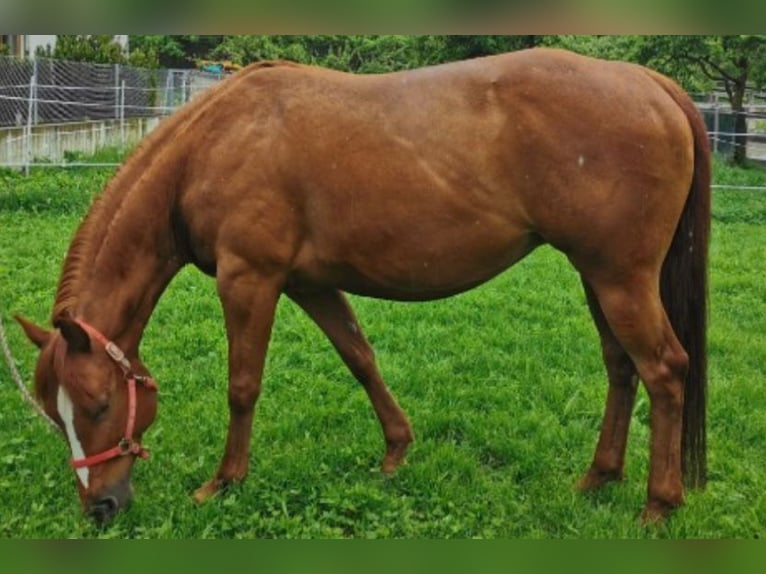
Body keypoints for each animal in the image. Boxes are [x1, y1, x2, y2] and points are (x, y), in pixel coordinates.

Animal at [13, 49, 712, 528]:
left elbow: (243, 386)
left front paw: (226, 481)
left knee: (665, 369)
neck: (213, 142)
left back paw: (659, 503)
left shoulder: (250, 279)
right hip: (598, 277)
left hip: (620, 279)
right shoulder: (309, 285)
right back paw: (599, 477)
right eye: (56, 413)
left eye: (100, 405)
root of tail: (650, 83)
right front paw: (396, 450)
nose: (99, 506)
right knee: (622, 368)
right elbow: (360, 357)